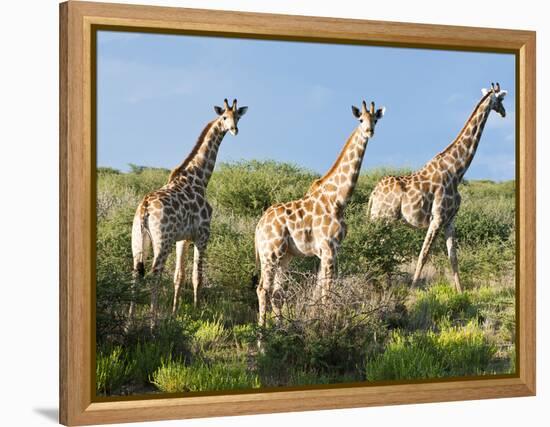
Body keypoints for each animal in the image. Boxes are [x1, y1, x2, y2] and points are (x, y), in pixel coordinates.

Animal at [128, 99, 249, 328]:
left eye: (237, 116)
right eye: (224, 117)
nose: (234, 130)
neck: (200, 178)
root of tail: (145, 207)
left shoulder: (182, 238)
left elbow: (179, 275)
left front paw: (175, 312)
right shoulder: (203, 234)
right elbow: (197, 276)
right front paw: (197, 312)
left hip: (139, 240)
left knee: (135, 274)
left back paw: (129, 324)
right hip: (162, 240)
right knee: (155, 274)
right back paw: (153, 323)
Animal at [256, 101, 386, 328]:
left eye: (376, 119)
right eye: (361, 119)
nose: (369, 131)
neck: (338, 199)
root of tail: (257, 228)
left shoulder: (328, 250)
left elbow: (319, 288)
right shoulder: (329, 248)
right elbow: (327, 290)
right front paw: (327, 321)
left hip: (285, 257)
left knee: (277, 293)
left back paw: (280, 329)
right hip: (270, 253)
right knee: (263, 290)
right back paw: (262, 334)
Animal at [368, 82, 512, 292]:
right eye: (501, 99)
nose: (504, 112)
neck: (457, 170)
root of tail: (373, 194)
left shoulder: (450, 220)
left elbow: (453, 257)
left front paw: (460, 292)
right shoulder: (437, 218)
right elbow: (423, 255)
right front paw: (413, 290)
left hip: (379, 220)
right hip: (384, 219)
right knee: (379, 247)